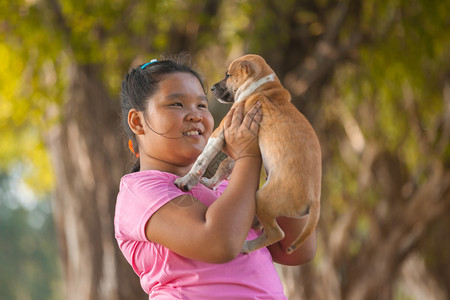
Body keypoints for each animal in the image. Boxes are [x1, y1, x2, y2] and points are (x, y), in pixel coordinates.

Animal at [174, 54, 322, 253]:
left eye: (228, 75)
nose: (211, 87)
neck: (262, 87)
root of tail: (315, 201)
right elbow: (224, 165)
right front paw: (210, 183)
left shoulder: (219, 133)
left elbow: (201, 160)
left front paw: (187, 181)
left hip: (263, 199)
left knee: (276, 233)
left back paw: (247, 245)